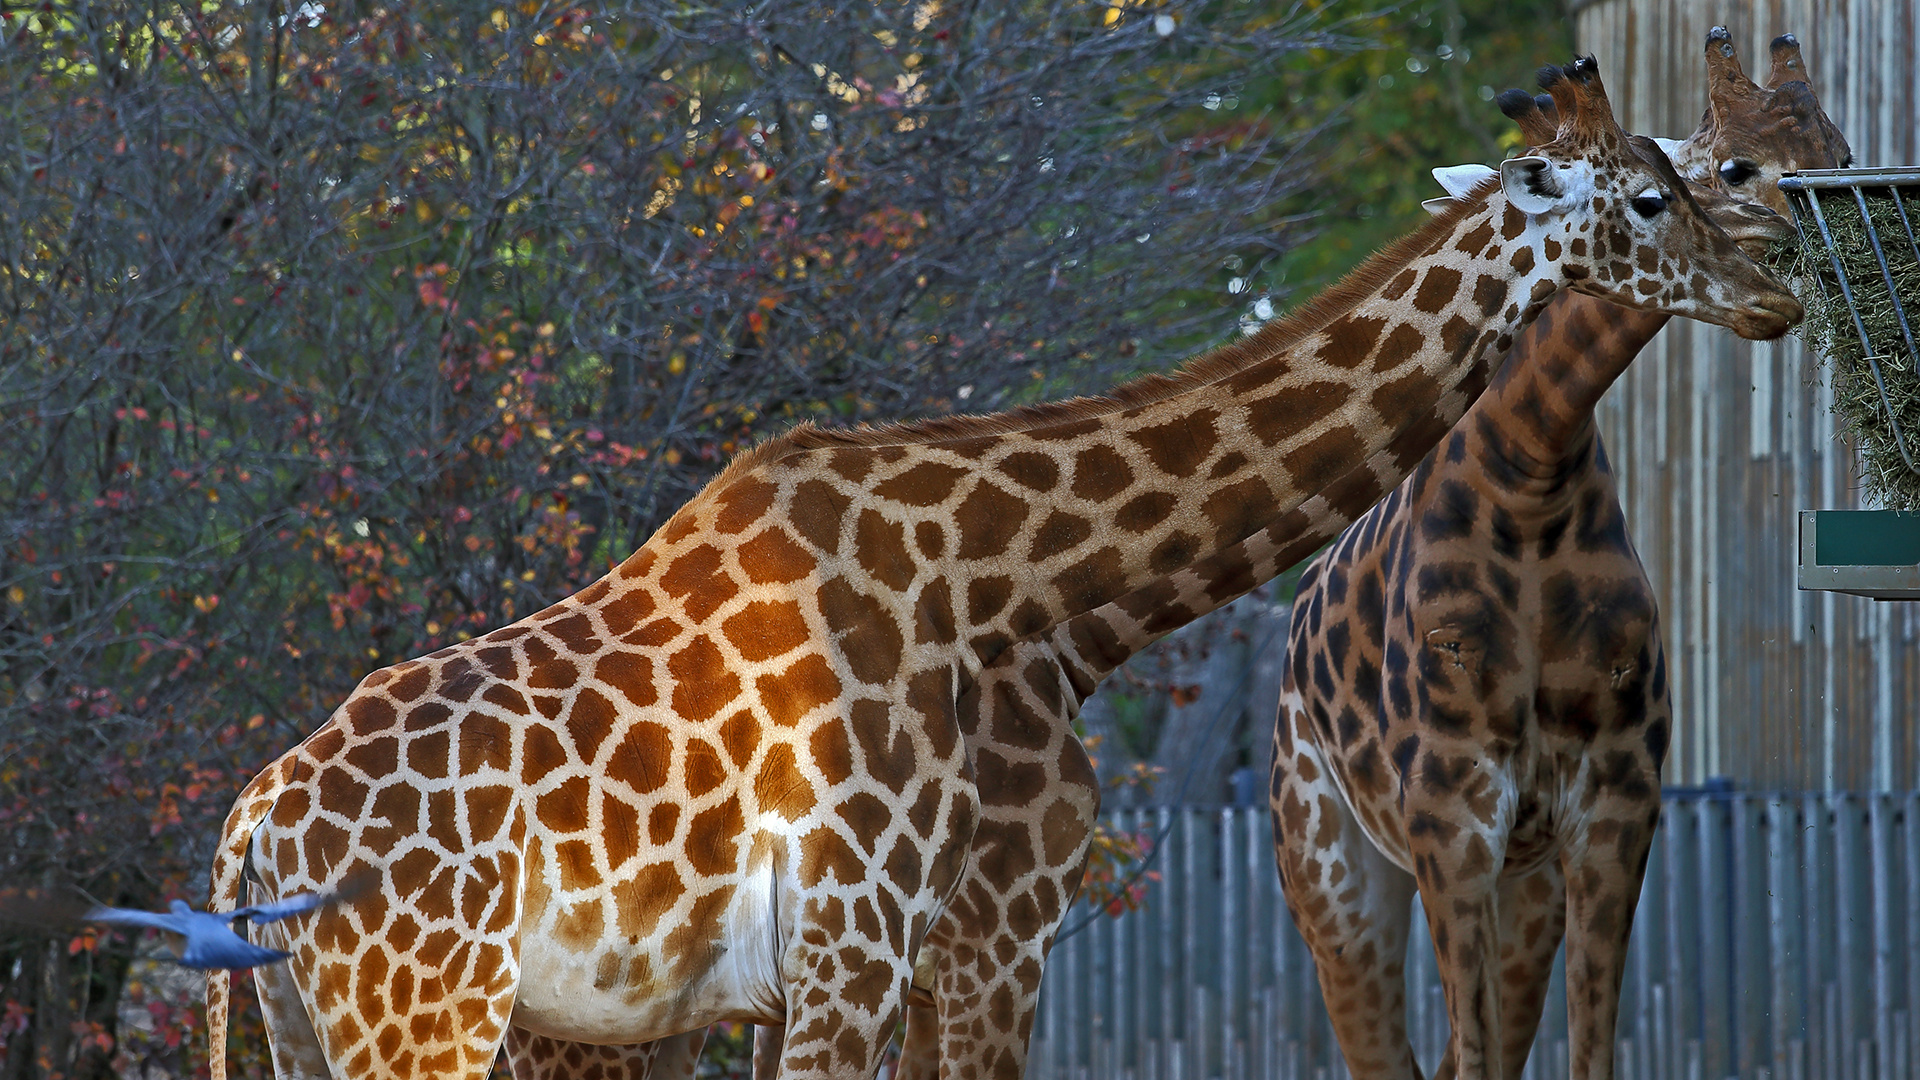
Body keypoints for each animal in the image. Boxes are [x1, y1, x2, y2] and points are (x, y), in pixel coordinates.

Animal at [198, 56, 1797, 1076]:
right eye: (1652, 197)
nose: (1775, 288)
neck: (1036, 592)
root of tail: (251, 832)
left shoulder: (877, 959)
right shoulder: (907, 940)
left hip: (321, 1026)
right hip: (431, 1013)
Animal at [1259, 31, 1843, 1076]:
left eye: (1843, 153)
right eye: (1732, 167)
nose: (1781, 289)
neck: (1528, 473)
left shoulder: (1615, 807)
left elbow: (1584, 1051)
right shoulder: (1451, 819)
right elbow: (1477, 1054)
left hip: (1522, 887)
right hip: (1333, 873)